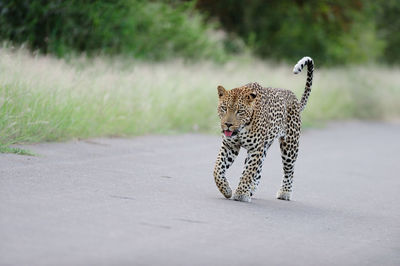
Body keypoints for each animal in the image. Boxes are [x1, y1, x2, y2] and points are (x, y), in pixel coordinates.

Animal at [214, 56, 314, 202]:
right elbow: (217, 169)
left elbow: (248, 172)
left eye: (240, 111)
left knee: (289, 170)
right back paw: (251, 189)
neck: (242, 127)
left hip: (290, 144)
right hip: (265, 146)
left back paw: (285, 192)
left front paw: (241, 194)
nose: (227, 124)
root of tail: (294, 97)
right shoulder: (230, 146)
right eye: (224, 108)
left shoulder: (255, 149)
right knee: (258, 168)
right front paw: (226, 190)